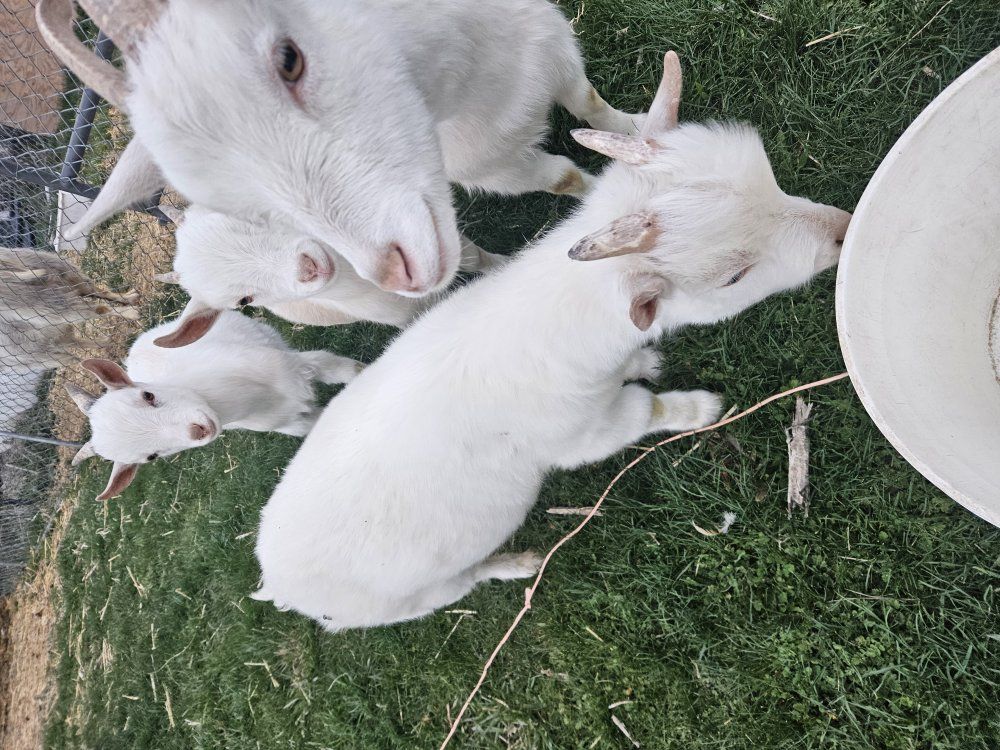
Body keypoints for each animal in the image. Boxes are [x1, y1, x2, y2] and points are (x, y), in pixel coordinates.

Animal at [67, 310, 364, 501]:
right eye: (151, 456)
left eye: (148, 396)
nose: (198, 430)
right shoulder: (291, 423)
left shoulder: (301, 366)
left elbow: (346, 371)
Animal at [251, 52, 853, 631]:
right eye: (733, 276)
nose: (843, 231)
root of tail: (274, 583)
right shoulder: (586, 434)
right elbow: (644, 411)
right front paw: (698, 408)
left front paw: (645, 360)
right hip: (417, 595)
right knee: (461, 584)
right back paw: (515, 565)